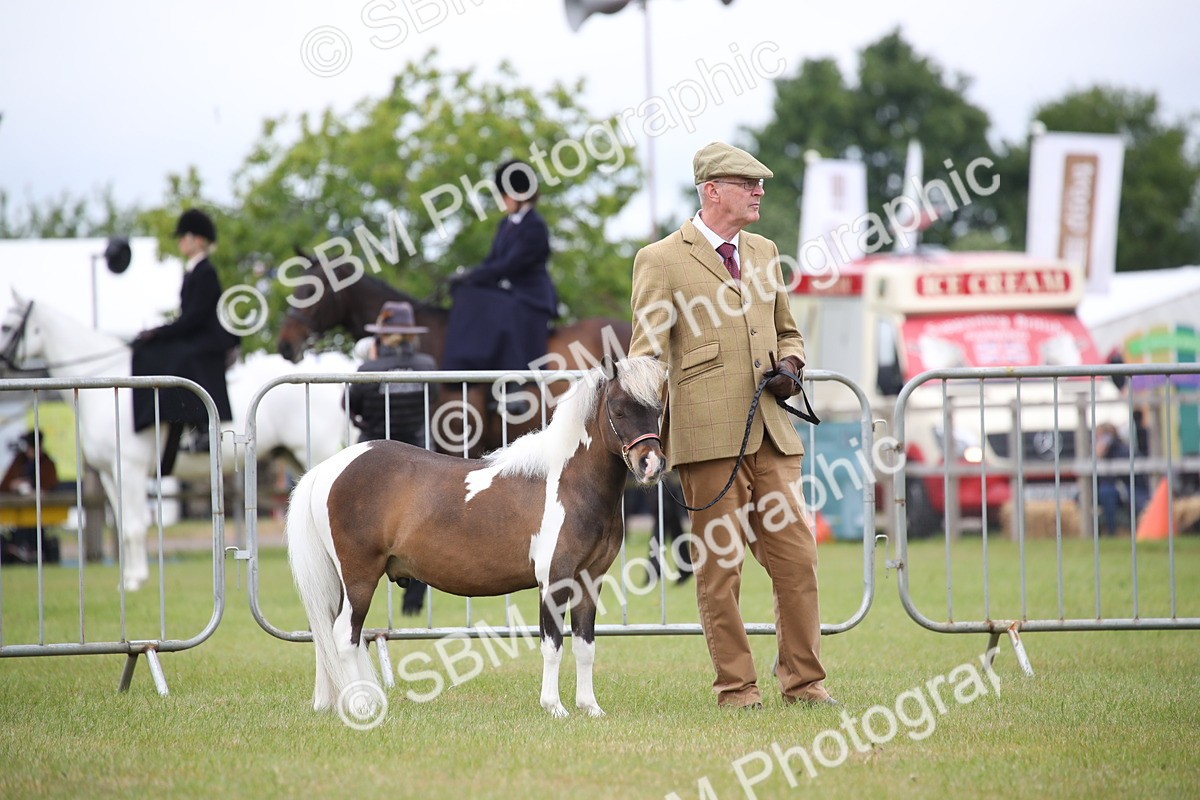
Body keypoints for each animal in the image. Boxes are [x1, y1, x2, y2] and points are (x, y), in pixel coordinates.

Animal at [0, 293, 355, 591]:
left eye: (6, 326)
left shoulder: (129, 469)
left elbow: (133, 526)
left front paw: (135, 582)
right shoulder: (110, 473)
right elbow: (126, 525)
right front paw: (129, 578)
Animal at [286, 355, 667, 718]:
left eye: (658, 410)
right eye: (618, 409)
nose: (650, 465)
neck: (569, 483)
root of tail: (328, 469)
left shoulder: (589, 579)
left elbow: (585, 646)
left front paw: (590, 708)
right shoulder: (554, 579)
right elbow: (553, 645)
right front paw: (554, 707)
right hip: (359, 577)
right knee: (344, 636)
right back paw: (362, 707)